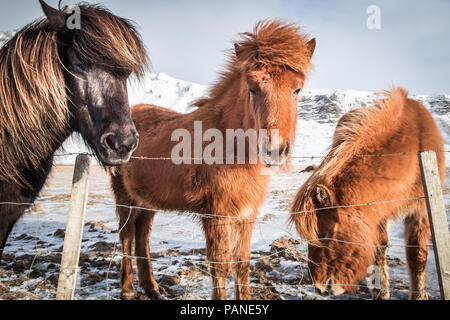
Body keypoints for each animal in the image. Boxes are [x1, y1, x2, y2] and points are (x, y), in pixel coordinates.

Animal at [110, 20, 314, 300]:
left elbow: (242, 262)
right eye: (252, 88)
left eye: (297, 89)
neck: (230, 145)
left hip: (146, 199)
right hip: (124, 196)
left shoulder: (246, 214)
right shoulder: (216, 214)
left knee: (143, 234)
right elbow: (220, 264)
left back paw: (152, 287)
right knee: (127, 235)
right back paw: (129, 289)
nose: (274, 149)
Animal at [290, 88, 444, 300]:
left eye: (324, 235)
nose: (319, 288)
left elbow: (417, 255)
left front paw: (418, 295)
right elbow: (378, 250)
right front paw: (380, 292)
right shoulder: (376, 213)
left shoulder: (421, 210)